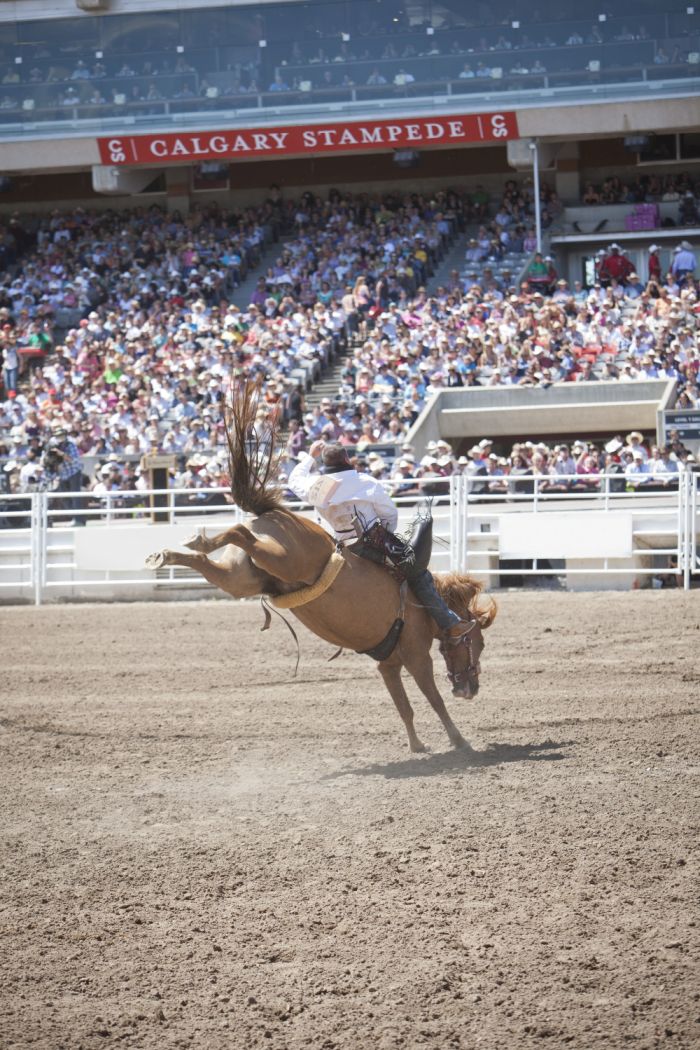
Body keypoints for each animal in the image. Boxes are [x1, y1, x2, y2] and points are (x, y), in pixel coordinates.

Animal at [147, 382, 497, 751]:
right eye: (478, 643)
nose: (470, 690)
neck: (423, 608)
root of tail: (272, 515)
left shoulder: (388, 664)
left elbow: (404, 707)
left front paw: (417, 746)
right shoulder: (417, 656)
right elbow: (434, 700)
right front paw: (460, 742)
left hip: (241, 577)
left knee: (218, 558)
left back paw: (176, 551)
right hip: (286, 560)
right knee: (240, 532)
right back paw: (199, 540)